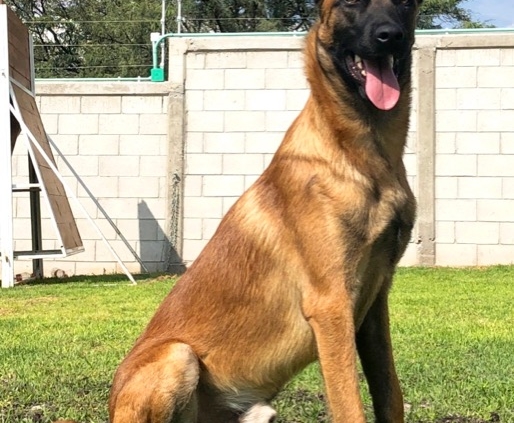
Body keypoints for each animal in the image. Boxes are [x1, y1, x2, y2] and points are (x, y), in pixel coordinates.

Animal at [108, 0, 421, 422]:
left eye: (405, 4)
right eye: (351, 3)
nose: (390, 36)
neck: (363, 156)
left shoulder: (373, 304)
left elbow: (389, 393)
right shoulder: (331, 306)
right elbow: (348, 405)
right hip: (178, 355)